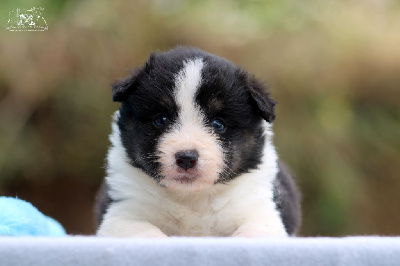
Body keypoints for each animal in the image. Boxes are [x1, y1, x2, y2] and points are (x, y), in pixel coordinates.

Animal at [95, 46, 298, 238]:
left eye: (218, 124)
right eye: (161, 119)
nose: (186, 158)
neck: (192, 198)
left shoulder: (260, 210)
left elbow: (255, 232)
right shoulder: (122, 211)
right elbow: (142, 232)